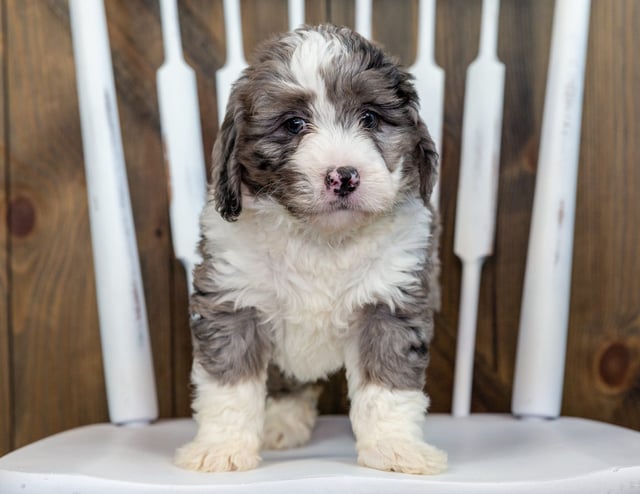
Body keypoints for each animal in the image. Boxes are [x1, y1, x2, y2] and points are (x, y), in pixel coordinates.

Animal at [172, 23, 448, 474]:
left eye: (369, 118)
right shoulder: (233, 301)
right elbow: (229, 385)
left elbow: (388, 388)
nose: (344, 177)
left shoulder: (390, 304)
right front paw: (221, 449)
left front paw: (395, 449)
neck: (320, 239)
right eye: (294, 124)